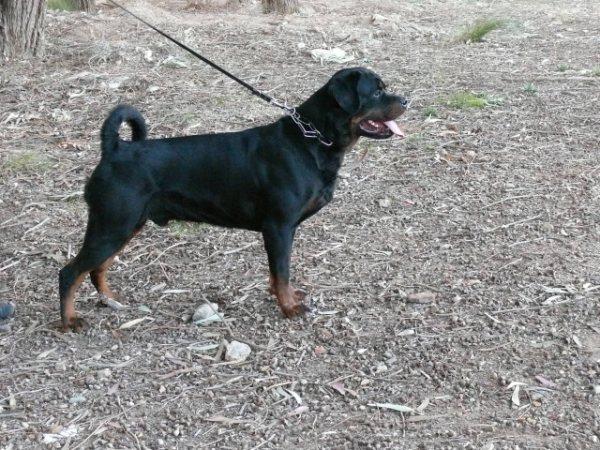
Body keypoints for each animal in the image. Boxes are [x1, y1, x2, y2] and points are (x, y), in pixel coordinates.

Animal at [59, 68, 408, 332]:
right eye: (376, 92)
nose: (406, 99)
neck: (311, 140)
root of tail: (115, 149)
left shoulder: (282, 231)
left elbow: (278, 273)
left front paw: (283, 296)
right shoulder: (279, 227)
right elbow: (282, 271)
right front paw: (288, 307)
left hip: (124, 225)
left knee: (96, 268)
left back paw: (110, 300)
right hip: (113, 224)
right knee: (70, 273)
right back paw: (69, 320)